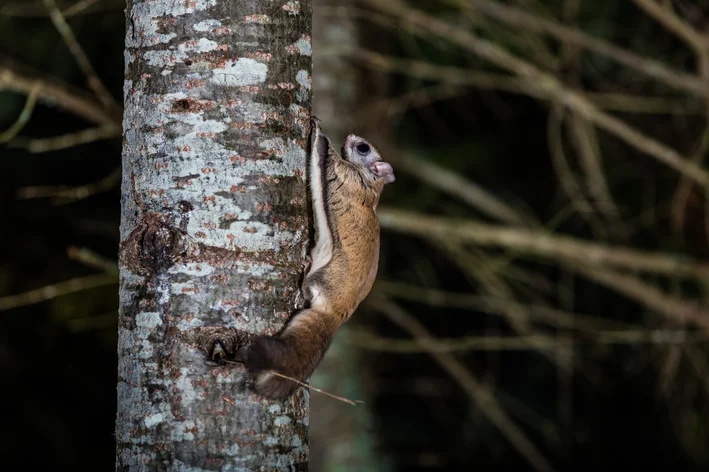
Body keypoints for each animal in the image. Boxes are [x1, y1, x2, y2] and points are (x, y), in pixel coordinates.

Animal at [246, 118, 392, 398]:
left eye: (363, 147)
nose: (351, 135)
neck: (370, 186)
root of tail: (334, 315)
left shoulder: (342, 175)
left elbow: (323, 154)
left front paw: (317, 128)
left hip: (323, 278)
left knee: (308, 290)